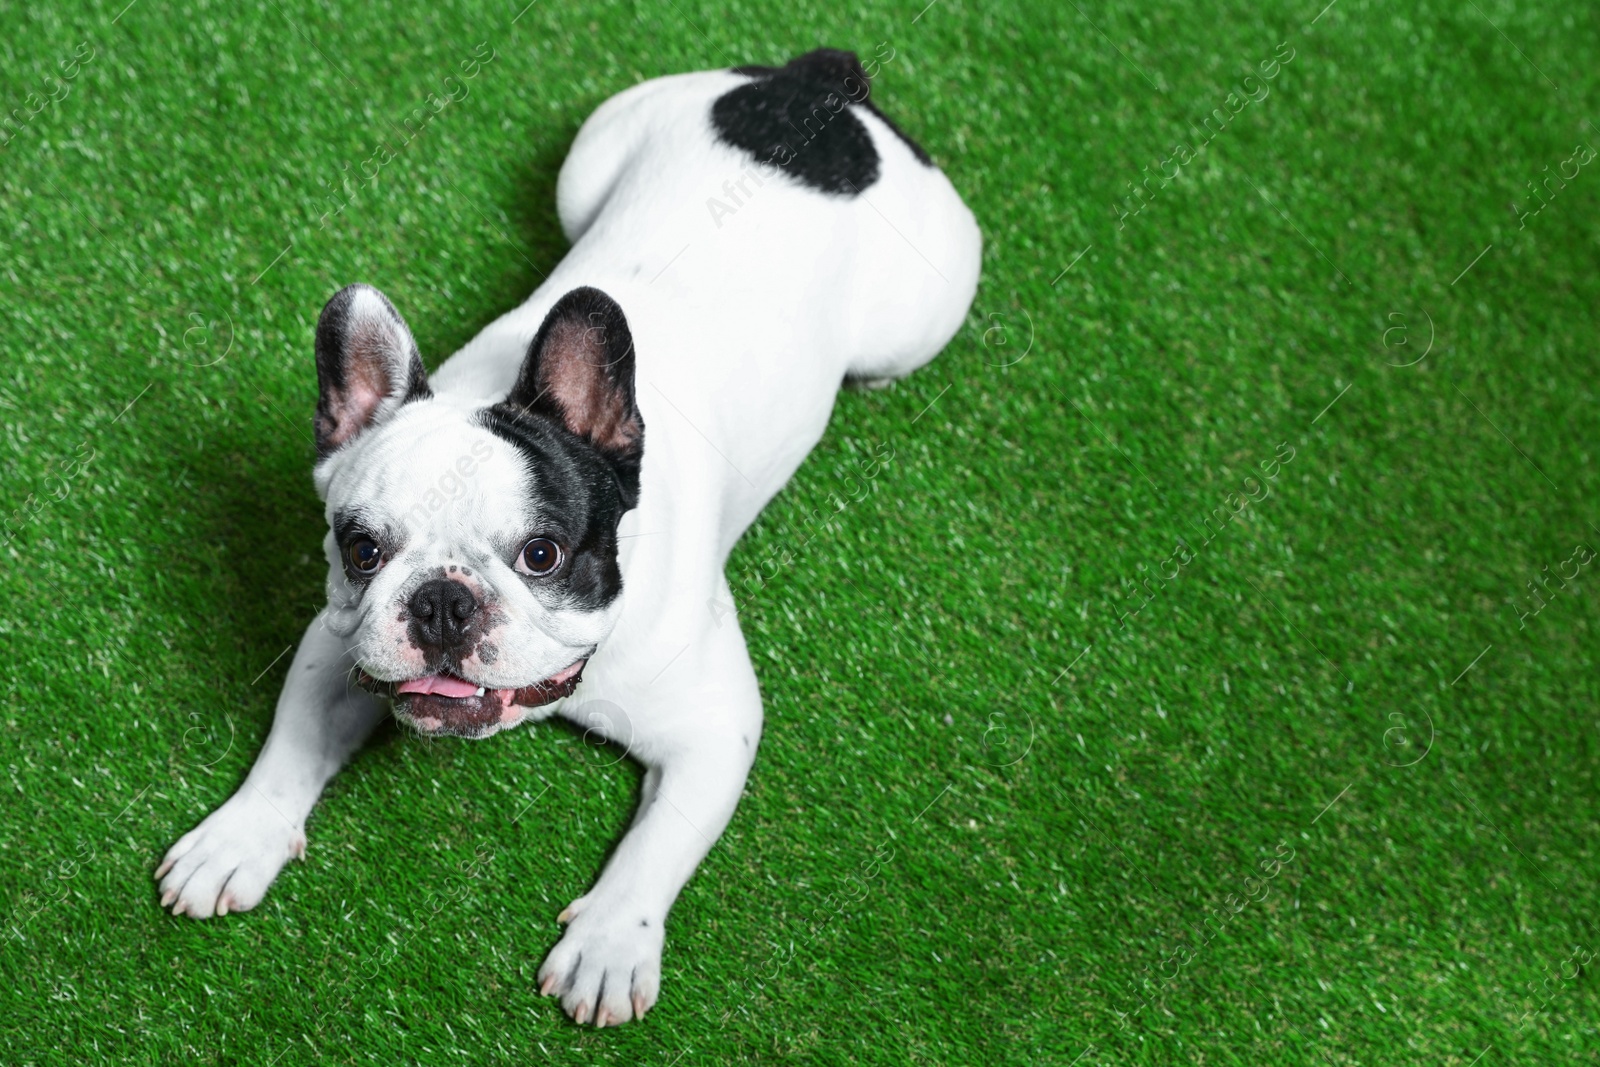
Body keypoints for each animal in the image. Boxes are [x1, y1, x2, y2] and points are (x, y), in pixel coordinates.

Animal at [156, 47, 972, 1023]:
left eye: (541, 554)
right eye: (362, 550)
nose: (442, 602)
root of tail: (814, 86)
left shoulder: (715, 728)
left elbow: (658, 845)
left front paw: (612, 941)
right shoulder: (339, 638)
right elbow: (291, 743)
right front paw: (240, 832)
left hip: (916, 318)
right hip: (586, 166)